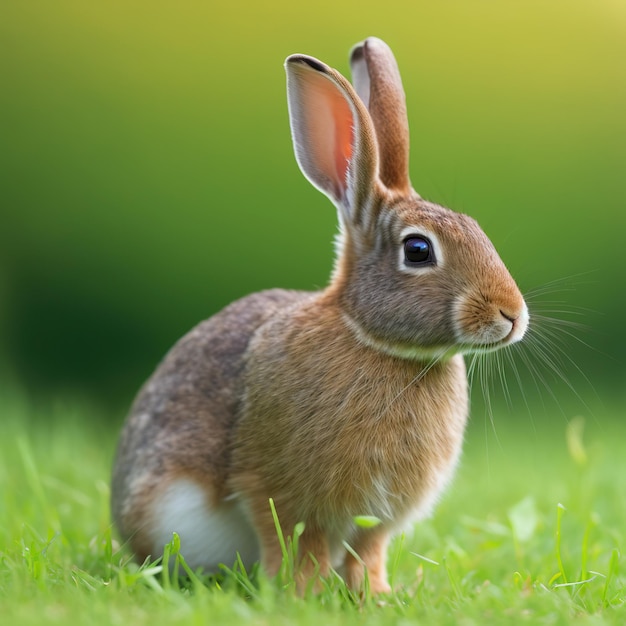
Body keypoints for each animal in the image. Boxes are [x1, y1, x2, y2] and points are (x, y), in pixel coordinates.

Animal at [111, 36, 528, 592]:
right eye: (418, 250)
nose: (513, 314)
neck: (377, 342)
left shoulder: (378, 519)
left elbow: (367, 553)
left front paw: (374, 596)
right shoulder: (274, 489)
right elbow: (293, 543)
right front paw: (301, 595)